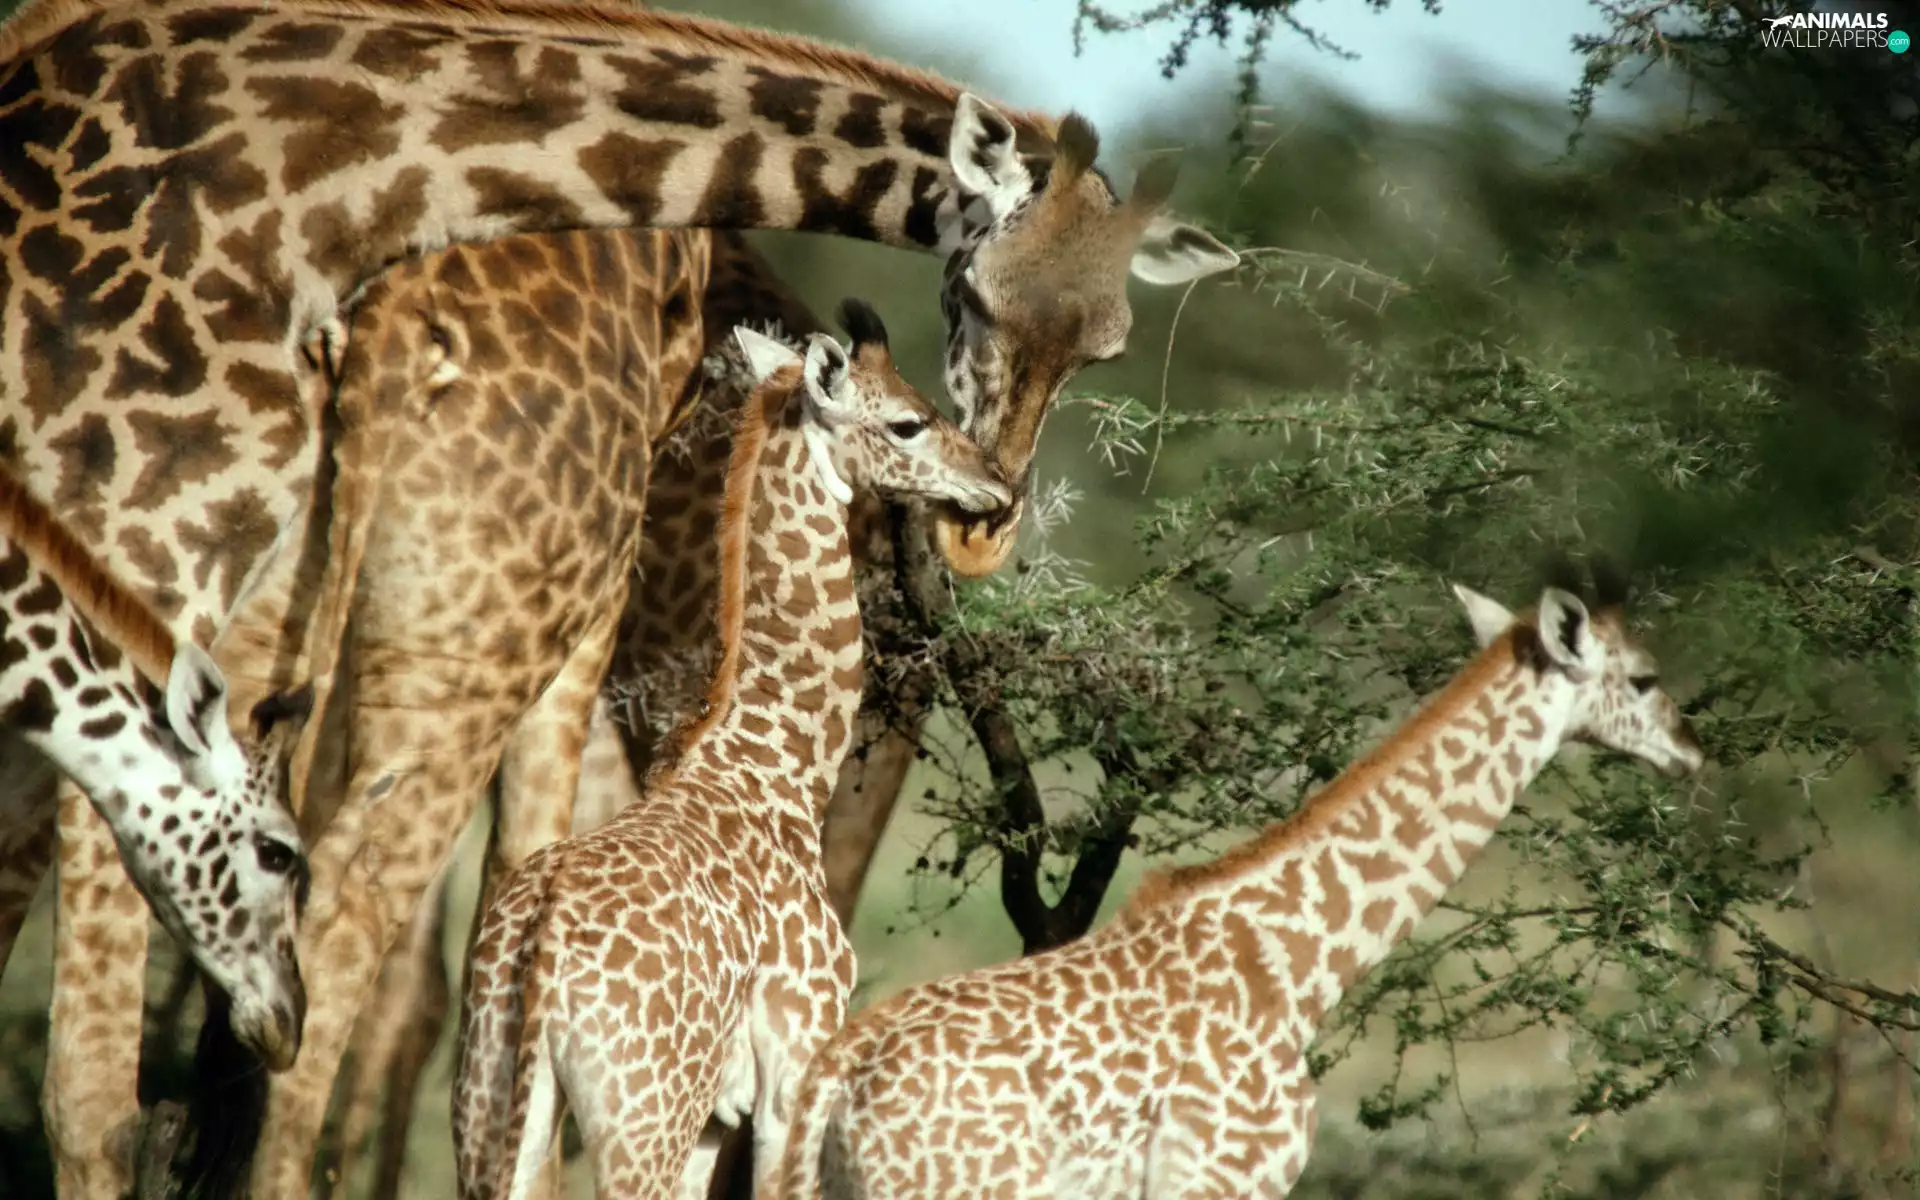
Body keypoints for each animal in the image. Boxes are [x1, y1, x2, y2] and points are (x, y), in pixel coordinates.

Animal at [451, 303, 1012, 1200]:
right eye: (907, 421)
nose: (996, 482)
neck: (778, 767)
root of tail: (534, 952)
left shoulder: (719, 1116)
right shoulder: (791, 1070)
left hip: (497, 1111)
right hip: (641, 1122)